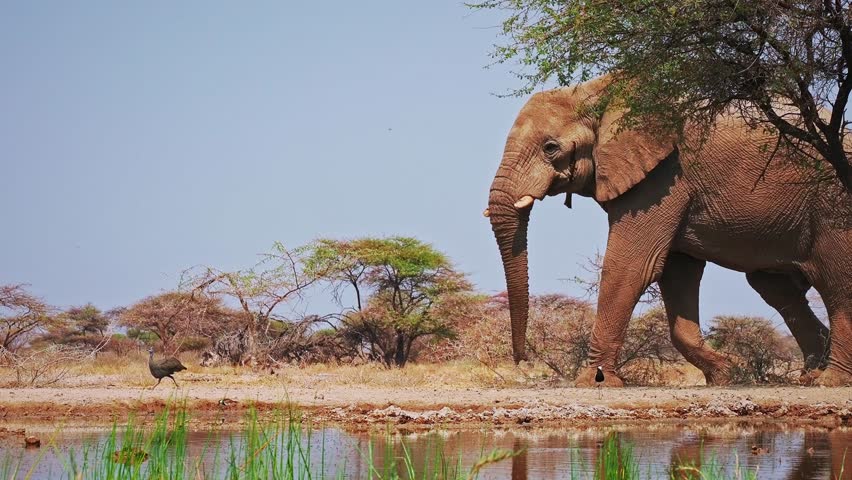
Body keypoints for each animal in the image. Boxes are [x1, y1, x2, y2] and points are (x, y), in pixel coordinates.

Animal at [485, 75, 852, 386]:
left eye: (550, 147)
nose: (522, 361)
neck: (600, 92)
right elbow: (677, 272)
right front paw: (724, 375)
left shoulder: (663, 178)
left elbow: (632, 267)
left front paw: (595, 382)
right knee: (775, 287)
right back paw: (809, 375)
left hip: (834, 200)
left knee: (837, 281)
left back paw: (830, 380)